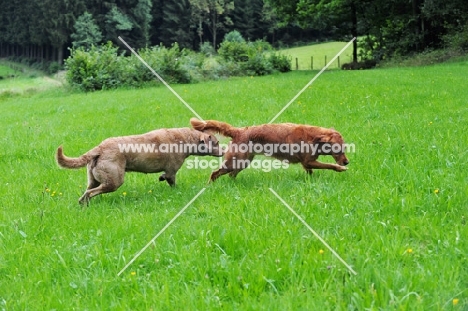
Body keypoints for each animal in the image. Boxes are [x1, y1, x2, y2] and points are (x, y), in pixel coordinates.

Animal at [54, 127, 223, 205]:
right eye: (216, 143)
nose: (223, 151)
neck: (185, 139)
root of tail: (99, 148)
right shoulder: (172, 171)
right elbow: (171, 180)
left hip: (93, 179)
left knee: (85, 194)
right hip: (114, 180)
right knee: (91, 193)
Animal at [189, 119, 348, 183]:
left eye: (345, 148)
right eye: (337, 149)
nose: (347, 162)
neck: (313, 137)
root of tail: (239, 131)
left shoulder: (307, 164)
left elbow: (311, 172)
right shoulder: (308, 161)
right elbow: (330, 165)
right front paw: (340, 168)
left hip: (243, 162)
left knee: (231, 175)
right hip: (235, 161)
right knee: (215, 173)